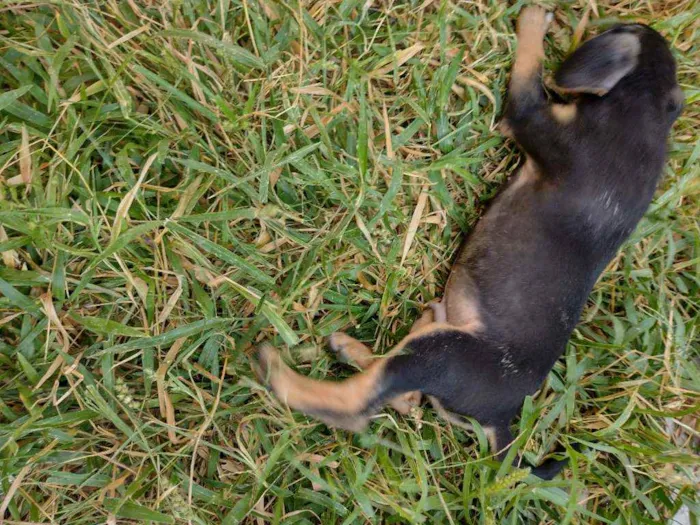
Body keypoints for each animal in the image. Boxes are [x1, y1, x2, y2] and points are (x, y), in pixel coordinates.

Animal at [254, 5, 680, 478]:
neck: (645, 113)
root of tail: (502, 421)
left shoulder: (532, 115)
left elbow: (528, 72)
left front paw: (533, 21)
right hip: (437, 347)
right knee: (403, 395)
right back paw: (353, 348)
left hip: (442, 353)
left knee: (359, 404)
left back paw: (278, 372)